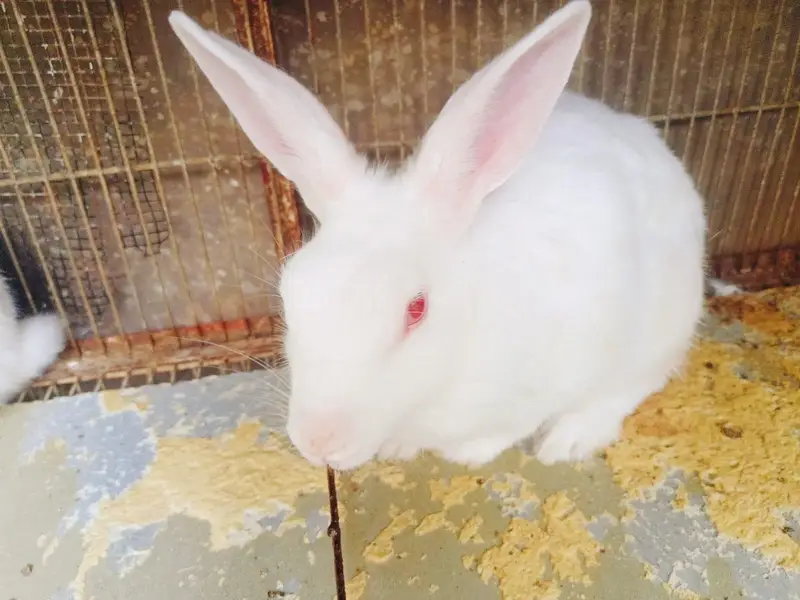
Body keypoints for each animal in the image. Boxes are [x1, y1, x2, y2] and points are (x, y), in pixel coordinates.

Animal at [169, 1, 724, 470]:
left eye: (417, 310)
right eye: (289, 299)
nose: (319, 442)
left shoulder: (549, 374)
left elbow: (504, 429)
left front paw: (468, 453)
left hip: (658, 328)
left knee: (635, 383)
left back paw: (568, 441)